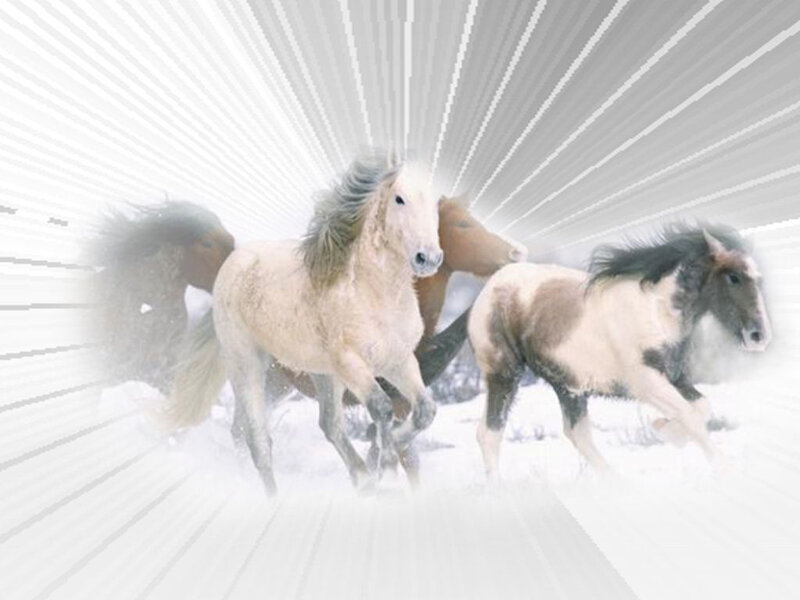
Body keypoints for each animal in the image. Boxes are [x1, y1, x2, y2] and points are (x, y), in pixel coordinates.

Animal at [159, 155, 443, 493]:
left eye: (436, 202)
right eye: (399, 199)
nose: (429, 258)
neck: (372, 294)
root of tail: (231, 265)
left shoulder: (398, 360)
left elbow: (426, 410)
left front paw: (384, 456)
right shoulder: (351, 363)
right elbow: (382, 407)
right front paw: (385, 467)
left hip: (322, 373)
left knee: (322, 425)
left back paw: (361, 478)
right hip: (248, 364)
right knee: (258, 439)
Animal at [468, 224, 772, 480]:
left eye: (757, 278)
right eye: (734, 277)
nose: (759, 336)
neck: (657, 313)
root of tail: (492, 285)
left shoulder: (675, 378)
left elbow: (702, 408)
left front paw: (665, 428)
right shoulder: (648, 384)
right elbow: (690, 416)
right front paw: (722, 468)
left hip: (568, 387)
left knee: (577, 433)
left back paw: (614, 482)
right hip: (504, 374)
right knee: (490, 432)